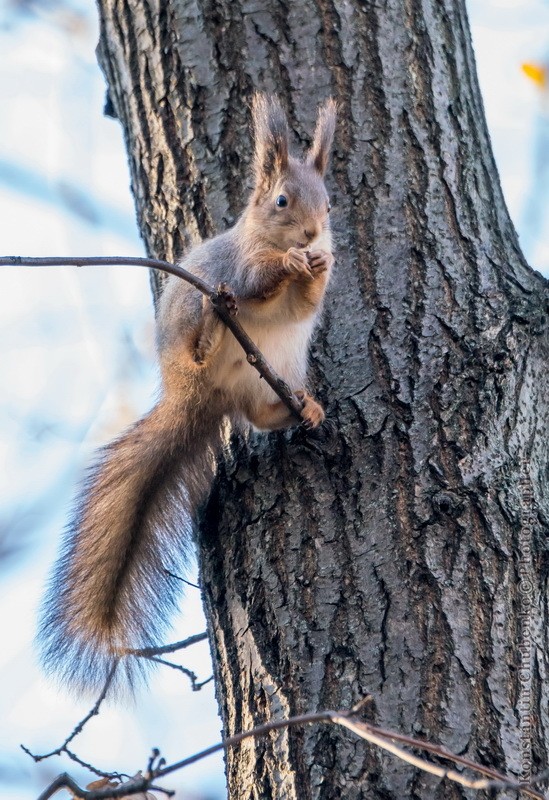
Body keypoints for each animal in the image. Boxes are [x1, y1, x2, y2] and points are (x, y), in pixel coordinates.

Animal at [38, 94, 336, 692]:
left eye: (329, 204)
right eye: (282, 201)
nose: (313, 236)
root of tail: (193, 397)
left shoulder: (301, 301)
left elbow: (306, 303)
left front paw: (320, 265)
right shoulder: (241, 269)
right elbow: (259, 280)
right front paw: (291, 263)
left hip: (265, 378)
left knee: (260, 414)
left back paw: (301, 406)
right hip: (191, 326)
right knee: (208, 332)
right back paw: (211, 337)